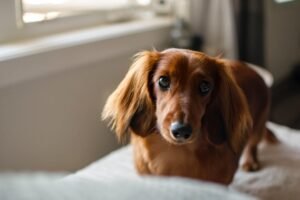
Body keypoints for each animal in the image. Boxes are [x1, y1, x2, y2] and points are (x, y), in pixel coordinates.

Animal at [102, 48, 278, 184]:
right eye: (163, 81)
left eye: (205, 86)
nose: (181, 130)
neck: (175, 153)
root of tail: (254, 71)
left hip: (258, 126)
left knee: (252, 144)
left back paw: (250, 161)